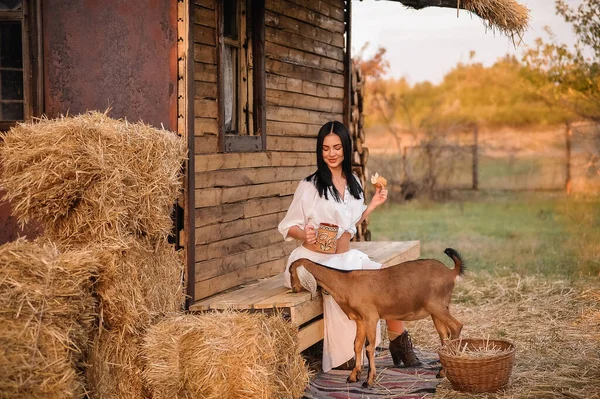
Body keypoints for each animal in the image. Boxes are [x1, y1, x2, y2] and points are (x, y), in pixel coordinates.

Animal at [290, 248, 464, 390]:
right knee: (444, 337)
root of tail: (450, 272)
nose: (294, 289)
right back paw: (441, 372)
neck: (346, 282)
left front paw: (368, 380)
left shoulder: (370, 317)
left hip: (437, 306)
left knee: (457, 326)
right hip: (438, 311)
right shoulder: (360, 320)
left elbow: (369, 348)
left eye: (291, 271)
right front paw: (353, 376)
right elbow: (356, 345)